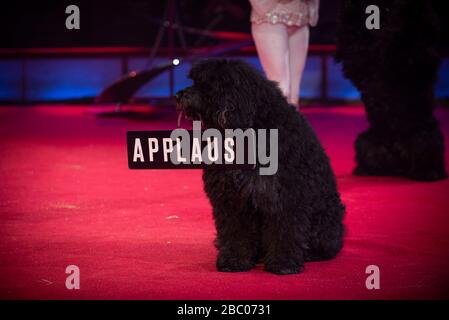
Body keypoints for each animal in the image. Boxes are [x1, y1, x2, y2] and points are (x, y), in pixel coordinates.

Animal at [175, 58, 344, 274]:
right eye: (194, 80)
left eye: (205, 84)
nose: (178, 95)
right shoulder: (232, 198)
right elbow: (236, 233)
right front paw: (234, 260)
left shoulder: (283, 196)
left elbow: (285, 232)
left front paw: (283, 263)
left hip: (325, 219)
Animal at [336, 0, 444, 180]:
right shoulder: (360, 58)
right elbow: (355, 38)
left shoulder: (413, 54)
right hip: (365, 141)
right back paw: (367, 170)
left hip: (425, 136)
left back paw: (428, 172)